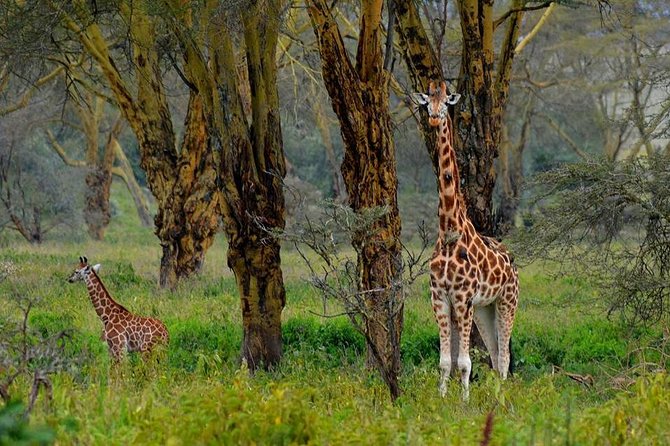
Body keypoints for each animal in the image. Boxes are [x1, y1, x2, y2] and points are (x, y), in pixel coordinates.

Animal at [414, 81, 520, 400]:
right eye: (427, 103)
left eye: (447, 102)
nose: (434, 118)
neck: (449, 231)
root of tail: (513, 263)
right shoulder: (439, 296)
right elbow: (444, 361)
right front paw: (442, 400)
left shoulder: (462, 297)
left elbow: (464, 361)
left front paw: (463, 402)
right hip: (485, 308)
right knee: (496, 355)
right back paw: (497, 398)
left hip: (507, 300)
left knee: (504, 356)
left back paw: (501, 401)